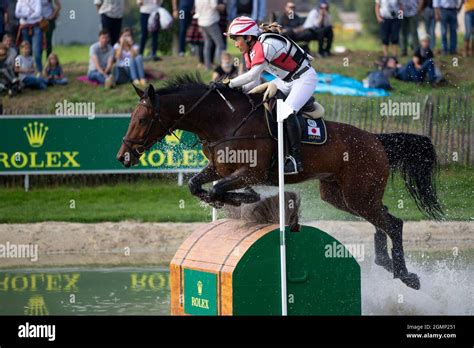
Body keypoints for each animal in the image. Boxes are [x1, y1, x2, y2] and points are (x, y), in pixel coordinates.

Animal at [115, 72, 444, 290]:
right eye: (131, 118)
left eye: (142, 119)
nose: (123, 157)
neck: (223, 122)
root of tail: (376, 140)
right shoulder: (219, 168)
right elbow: (196, 186)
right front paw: (233, 200)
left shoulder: (251, 172)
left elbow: (220, 188)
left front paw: (246, 198)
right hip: (343, 196)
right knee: (383, 218)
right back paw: (385, 262)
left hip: (358, 194)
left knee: (394, 223)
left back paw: (406, 275)